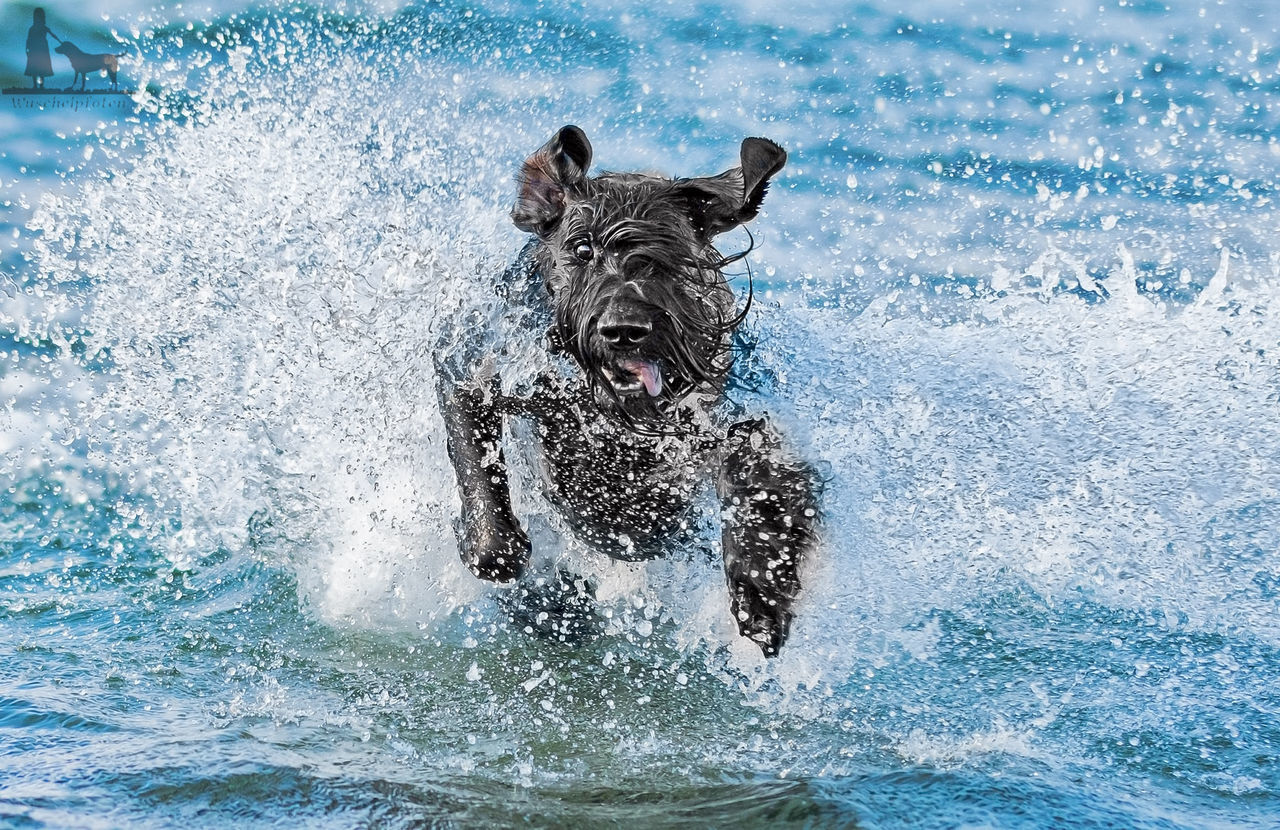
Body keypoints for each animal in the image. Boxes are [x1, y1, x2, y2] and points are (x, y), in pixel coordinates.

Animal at [437, 126, 819, 655]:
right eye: (582, 250)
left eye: (669, 258)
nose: (623, 329)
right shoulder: (470, 367)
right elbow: (484, 492)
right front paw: (498, 554)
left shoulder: (723, 422)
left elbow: (760, 478)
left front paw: (761, 589)